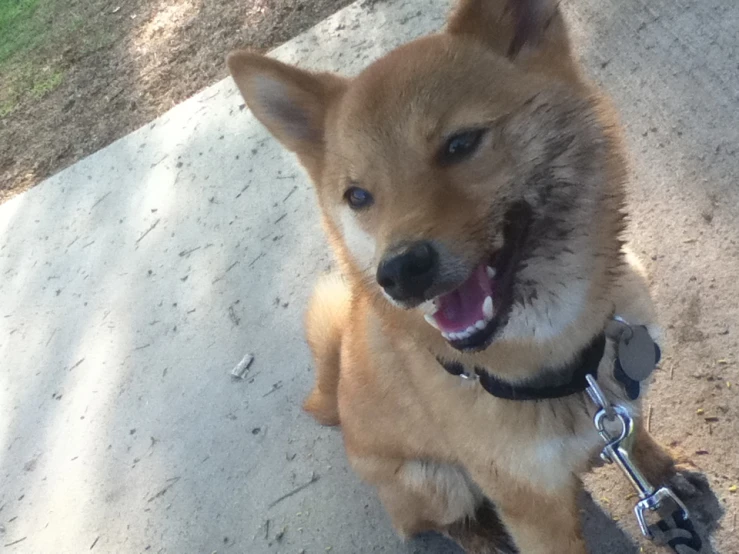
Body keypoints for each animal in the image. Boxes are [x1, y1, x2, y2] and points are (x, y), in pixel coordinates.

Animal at [227, 1, 688, 552]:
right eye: (358, 196)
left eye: (460, 144)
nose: (399, 272)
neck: (569, 365)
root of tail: (336, 402)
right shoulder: (532, 510)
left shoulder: (619, 408)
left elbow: (634, 435)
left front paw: (660, 472)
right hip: (435, 481)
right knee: (447, 523)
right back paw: (483, 539)